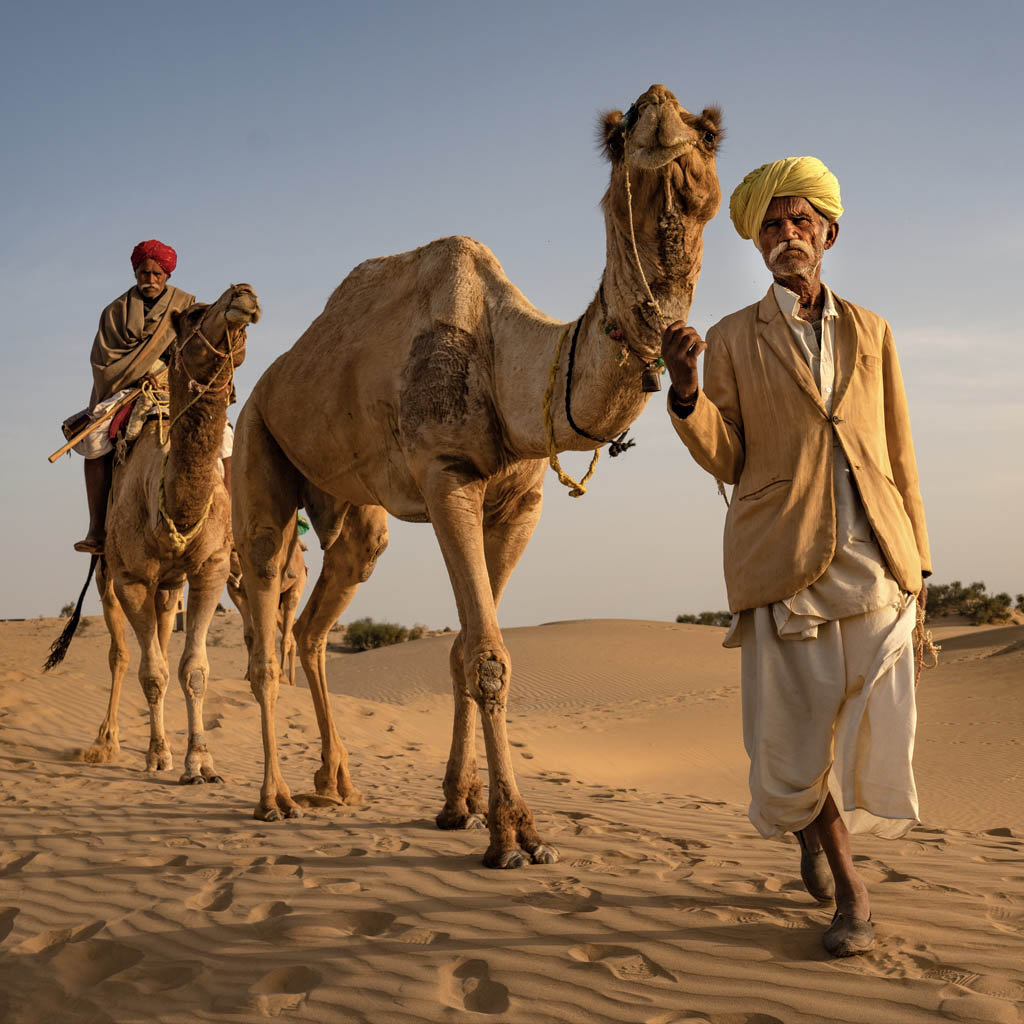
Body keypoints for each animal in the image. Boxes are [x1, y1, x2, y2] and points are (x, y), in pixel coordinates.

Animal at [67, 288, 260, 782]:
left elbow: (193, 668)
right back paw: (107, 743)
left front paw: (200, 762)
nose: (244, 294)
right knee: (121, 654)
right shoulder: (132, 578)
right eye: (194, 314)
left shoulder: (209, 569)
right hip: (109, 572)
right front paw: (158, 755)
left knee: (161, 637)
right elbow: (151, 671)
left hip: (169, 586)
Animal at [235, 88, 724, 868]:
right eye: (616, 137)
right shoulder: (447, 478)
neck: (508, 363)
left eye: (710, 133)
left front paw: (457, 806)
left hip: (351, 510)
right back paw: (274, 798)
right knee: (260, 608)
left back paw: (336, 784)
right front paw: (517, 833)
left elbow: (464, 647)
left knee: (313, 624)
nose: (657, 104)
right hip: (257, 435)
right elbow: (488, 654)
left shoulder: (520, 503)